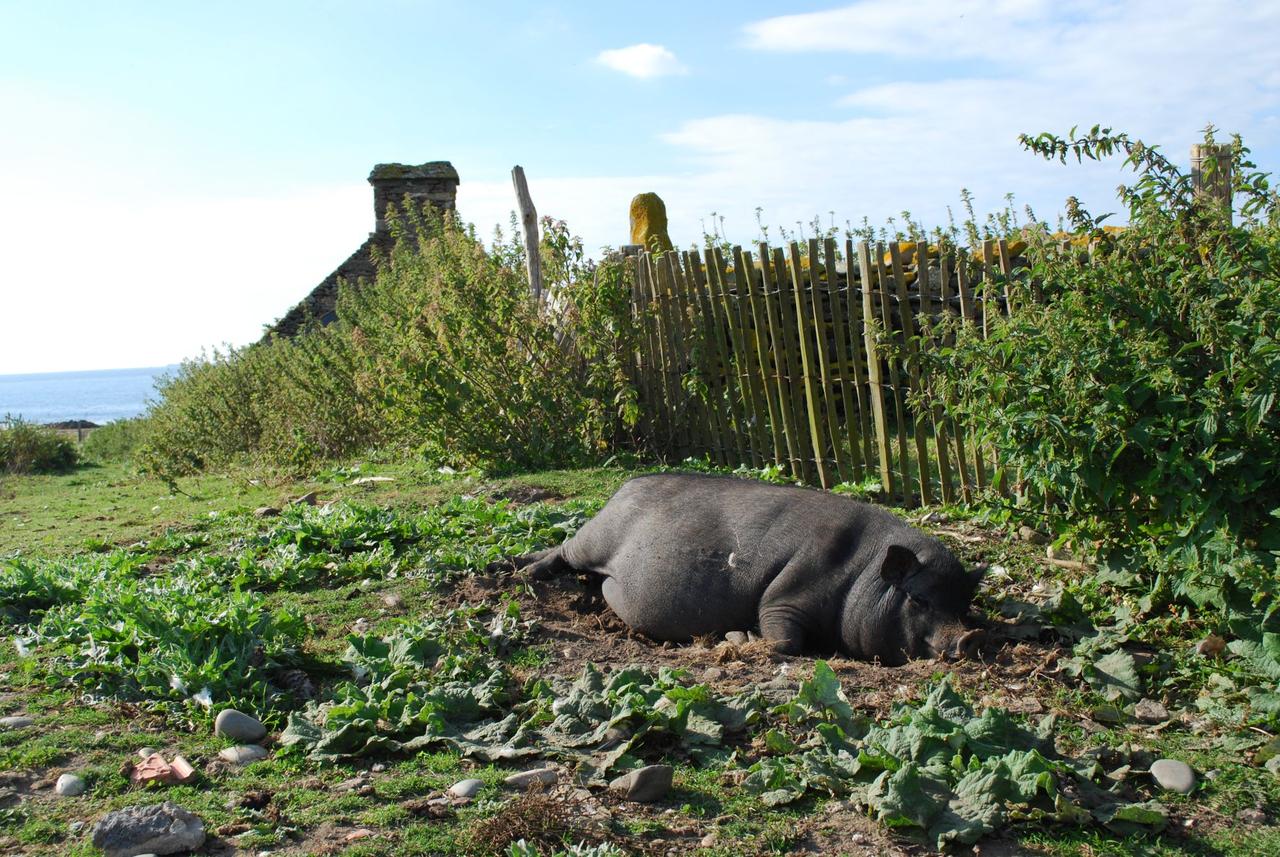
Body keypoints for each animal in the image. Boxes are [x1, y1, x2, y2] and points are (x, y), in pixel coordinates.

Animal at [504, 473, 983, 670]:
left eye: (966, 605)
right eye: (917, 598)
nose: (969, 639)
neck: (861, 575)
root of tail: (623, 487)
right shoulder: (784, 597)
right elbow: (785, 639)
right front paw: (740, 637)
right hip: (594, 538)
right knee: (563, 550)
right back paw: (520, 574)